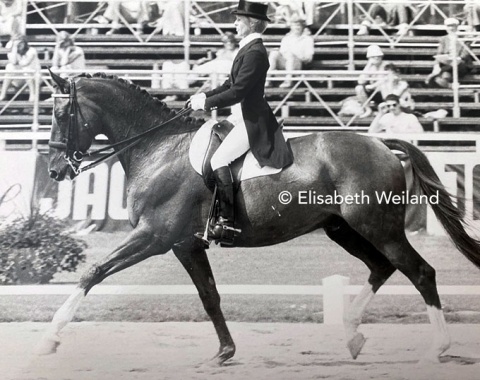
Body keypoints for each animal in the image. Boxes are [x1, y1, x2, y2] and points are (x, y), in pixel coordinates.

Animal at [40, 72, 480, 366]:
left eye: (61, 113)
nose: (56, 171)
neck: (157, 148)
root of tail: (379, 142)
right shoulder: (185, 244)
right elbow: (210, 296)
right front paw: (224, 352)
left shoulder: (155, 236)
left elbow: (94, 271)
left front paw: (51, 337)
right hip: (342, 229)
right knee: (381, 267)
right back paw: (352, 334)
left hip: (378, 227)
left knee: (419, 271)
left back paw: (437, 348)